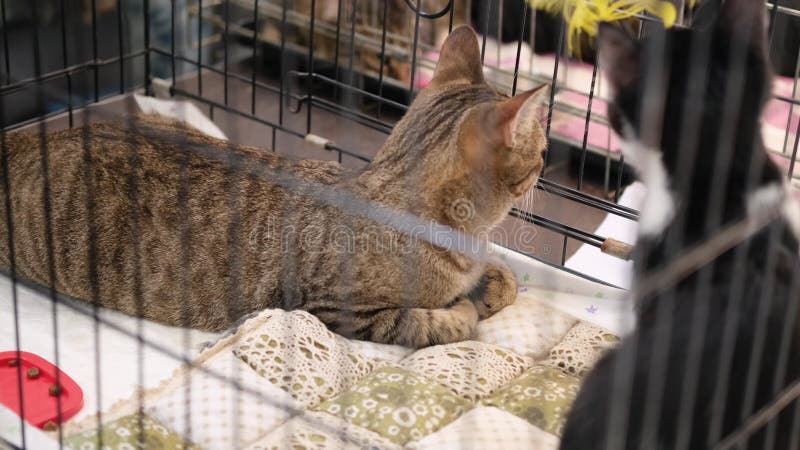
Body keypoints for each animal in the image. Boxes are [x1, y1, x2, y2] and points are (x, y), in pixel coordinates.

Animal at [0, 27, 548, 348]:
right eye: (541, 152)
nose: (546, 160)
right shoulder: (334, 309)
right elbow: (425, 323)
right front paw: (463, 312)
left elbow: (499, 275)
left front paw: (493, 284)